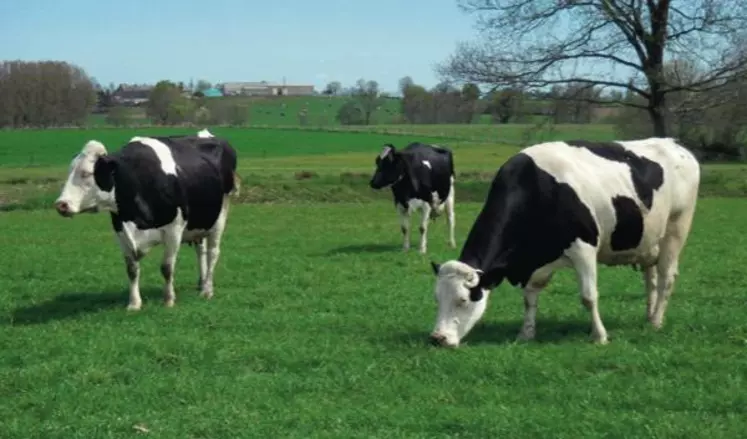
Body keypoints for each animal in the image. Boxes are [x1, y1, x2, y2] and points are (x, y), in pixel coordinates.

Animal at [53, 129, 240, 312]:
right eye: (70, 171)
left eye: (87, 173)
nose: (61, 205)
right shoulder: (121, 230)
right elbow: (132, 269)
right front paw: (134, 303)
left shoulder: (174, 229)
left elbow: (166, 267)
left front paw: (169, 299)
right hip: (200, 221)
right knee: (200, 250)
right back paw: (201, 283)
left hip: (220, 214)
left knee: (213, 253)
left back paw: (207, 290)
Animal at [426, 138, 700, 348]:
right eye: (436, 299)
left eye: (463, 300)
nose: (437, 338)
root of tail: (675, 144)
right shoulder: (535, 263)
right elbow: (529, 297)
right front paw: (526, 333)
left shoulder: (584, 248)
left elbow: (589, 296)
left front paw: (599, 336)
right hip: (648, 240)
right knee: (650, 278)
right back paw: (649, 314)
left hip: (676, 228)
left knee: (666, 276)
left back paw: (656, 321)